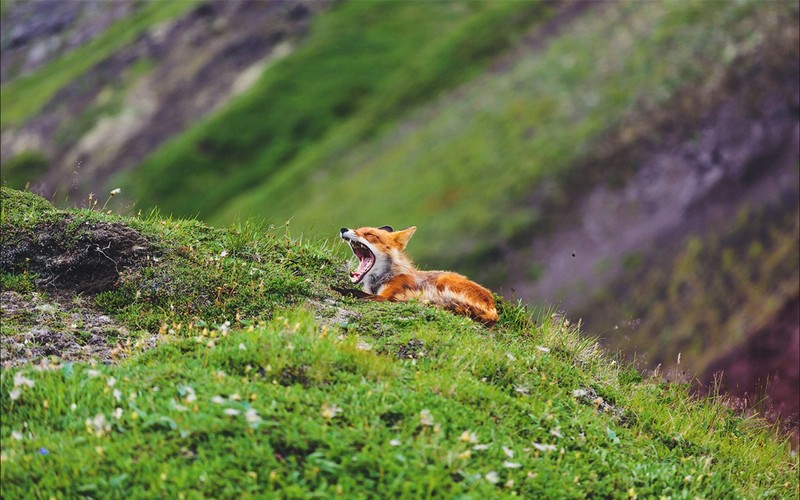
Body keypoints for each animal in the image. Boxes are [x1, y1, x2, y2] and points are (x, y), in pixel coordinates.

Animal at [340, 225, 500, 326]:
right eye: (358, 229)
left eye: (370, 234)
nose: (343, 229)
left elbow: (355, 292)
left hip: (444, 280)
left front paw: (340, 290)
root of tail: (494, 309)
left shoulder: (388, 297)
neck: (383, 279)